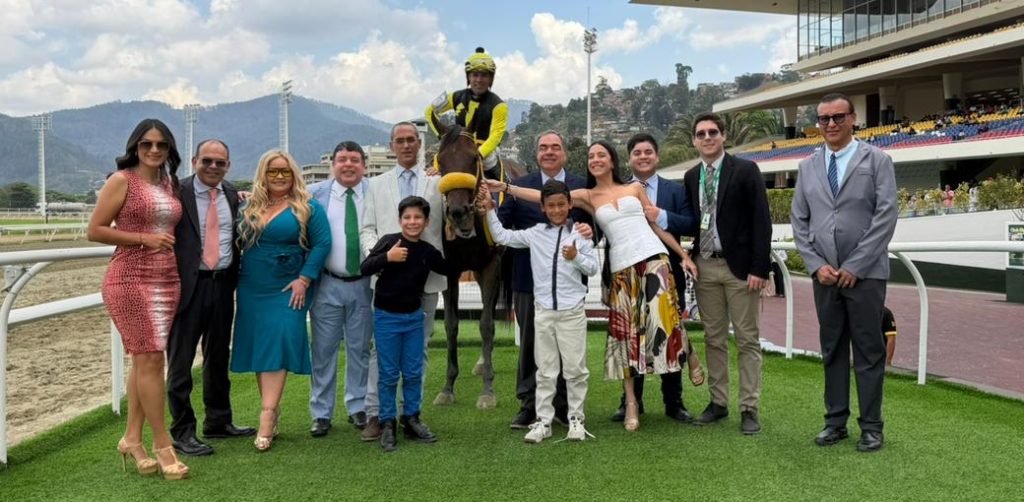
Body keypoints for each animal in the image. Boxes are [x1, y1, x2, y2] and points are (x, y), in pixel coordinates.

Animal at [428, 113, 521, 410]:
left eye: (473, 159)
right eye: (441, 161)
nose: (459, 212)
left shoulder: (492, 265)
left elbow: (486, 325)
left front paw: (488, 391)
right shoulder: (450, 270)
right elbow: (451, 325)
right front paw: (447, 387)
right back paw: (482, 361)